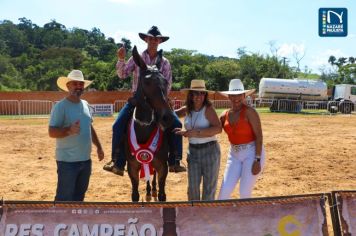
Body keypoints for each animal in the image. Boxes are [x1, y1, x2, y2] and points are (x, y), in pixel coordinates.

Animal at [124, 45, 175, 201]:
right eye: (146, 82)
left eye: (165, 81)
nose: (167, 118)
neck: (143, 130)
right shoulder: (132, 167)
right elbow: (134, 195)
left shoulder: (162, 166)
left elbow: (162, 195)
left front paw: (156, 192)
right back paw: (147, 191)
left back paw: (152, 189)